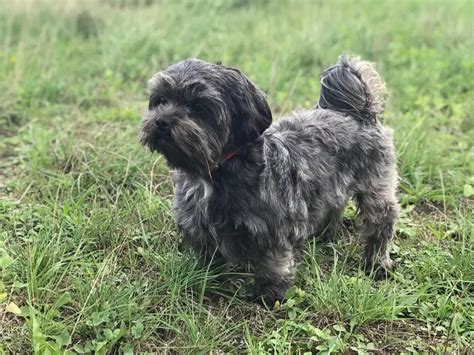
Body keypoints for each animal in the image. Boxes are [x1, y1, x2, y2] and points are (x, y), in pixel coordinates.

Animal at [139, 54, 398, 304]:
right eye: (160, 100)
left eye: (199, 106)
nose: (162, 121)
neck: (214, 172)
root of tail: (358, 112)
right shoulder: (199, 225)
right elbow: (210, 256)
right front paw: (208, 278)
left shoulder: (275, 227)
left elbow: (274, 263)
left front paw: (268, 294)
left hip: (376, 186)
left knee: (380, 223)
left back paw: (376, 263)